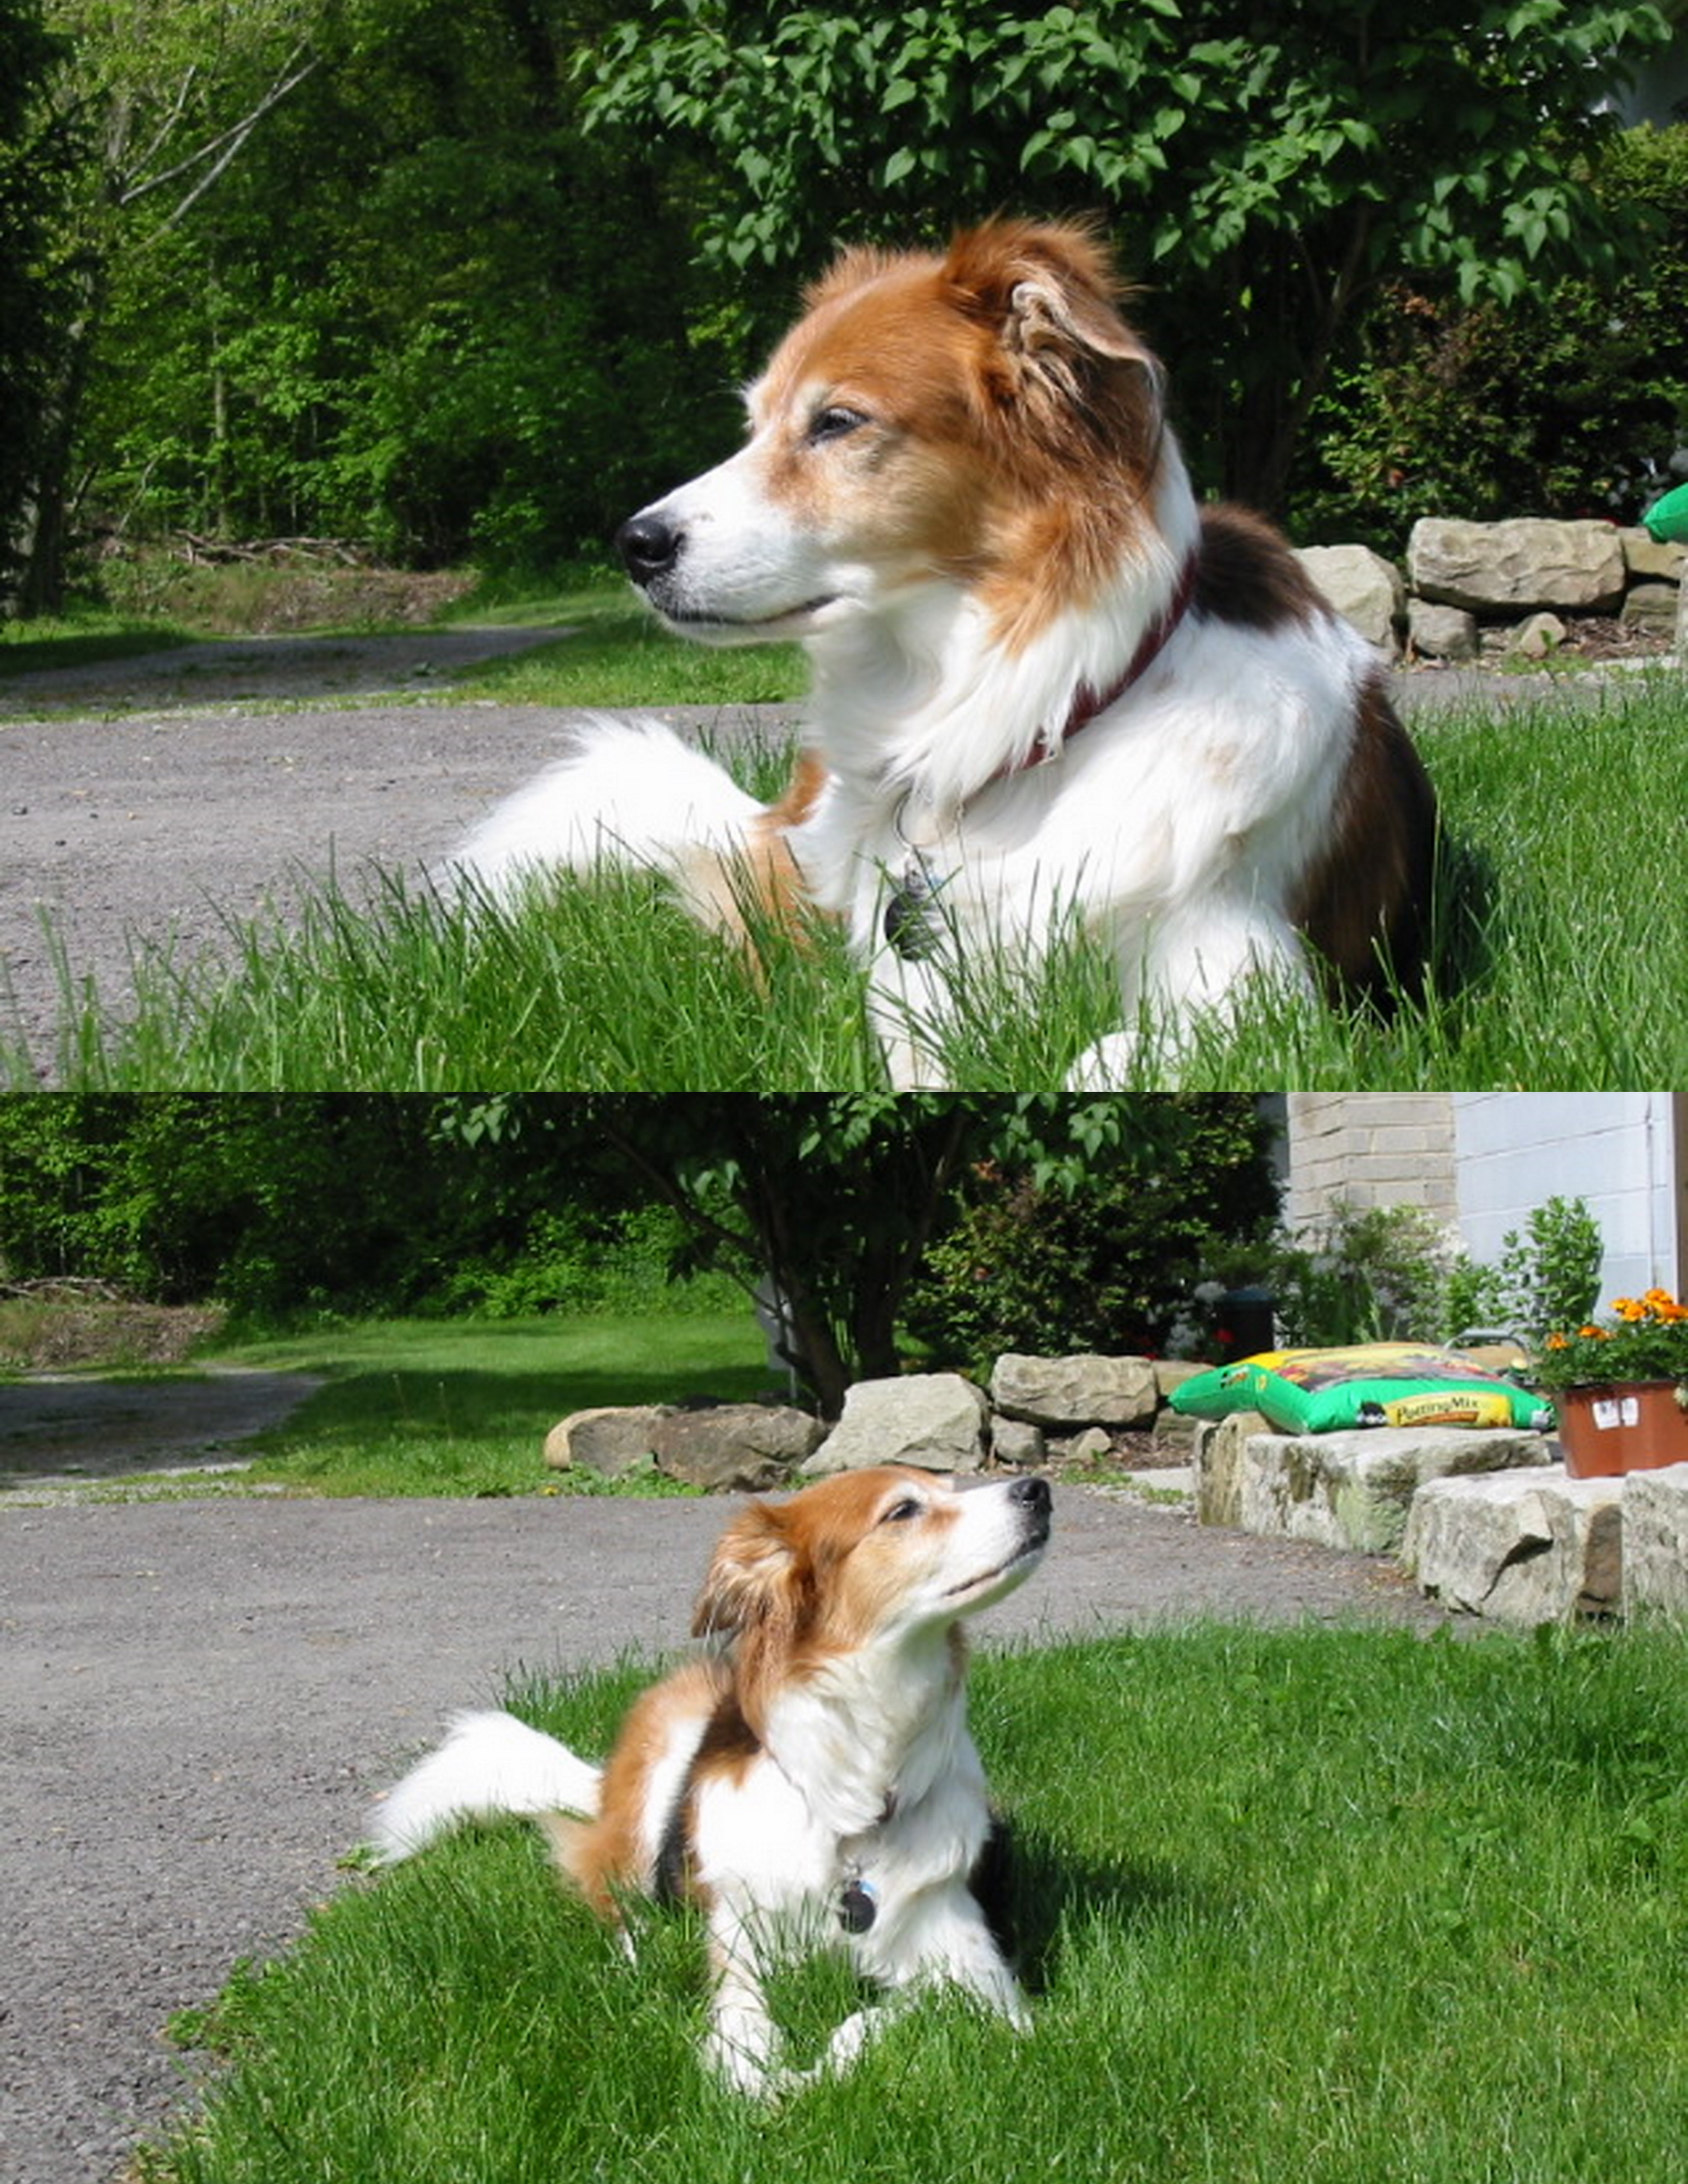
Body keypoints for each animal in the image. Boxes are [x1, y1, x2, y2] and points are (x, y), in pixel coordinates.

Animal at [369, 1466, 1052, 2096]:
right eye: (904, 1510)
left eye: (952, 1486)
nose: (1038, 1489)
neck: (852, 1794)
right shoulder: (741, 1944)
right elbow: (741, 2020)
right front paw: (752, 2076)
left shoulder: (979, 1974)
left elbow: (885, 2015)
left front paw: (822, 2069)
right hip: (656, 1777)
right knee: (609, 1889)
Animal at [454, 217, 1436, 1086]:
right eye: (754, 424)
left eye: (836, 422)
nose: (634, 544)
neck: (1040, 718)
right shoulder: (907, 986)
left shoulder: (1250, 982)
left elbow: (1109, 1057)